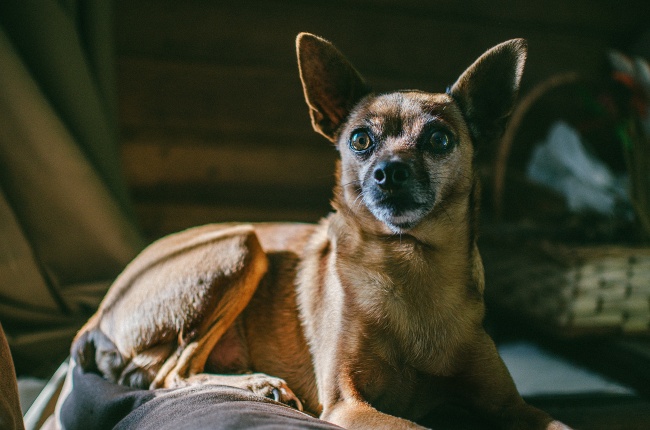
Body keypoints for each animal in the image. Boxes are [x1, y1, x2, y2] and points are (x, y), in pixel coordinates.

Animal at [60, 31, 568, 428]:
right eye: (360, 140)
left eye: (439, 140)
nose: (389, 171)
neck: (410, 265)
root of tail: (101, 309)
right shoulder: (349, 404)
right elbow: (412, 425)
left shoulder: (512, 406)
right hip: (241, 244)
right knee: (169, 374)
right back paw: (258, 385)